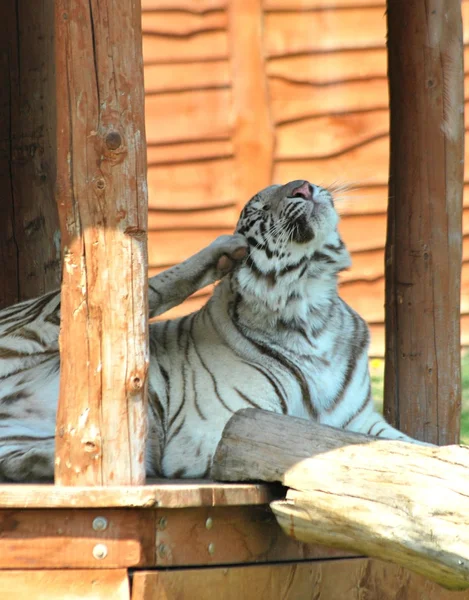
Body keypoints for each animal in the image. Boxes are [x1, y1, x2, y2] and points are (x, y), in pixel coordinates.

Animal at [0, 180, 416, 480]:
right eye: (260, 207)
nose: (303, 187)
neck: (311, 310)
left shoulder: (360, 421)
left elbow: (414, 446)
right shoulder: (232, 426)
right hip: (42, 316)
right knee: (131, 290)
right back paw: (222, 251)